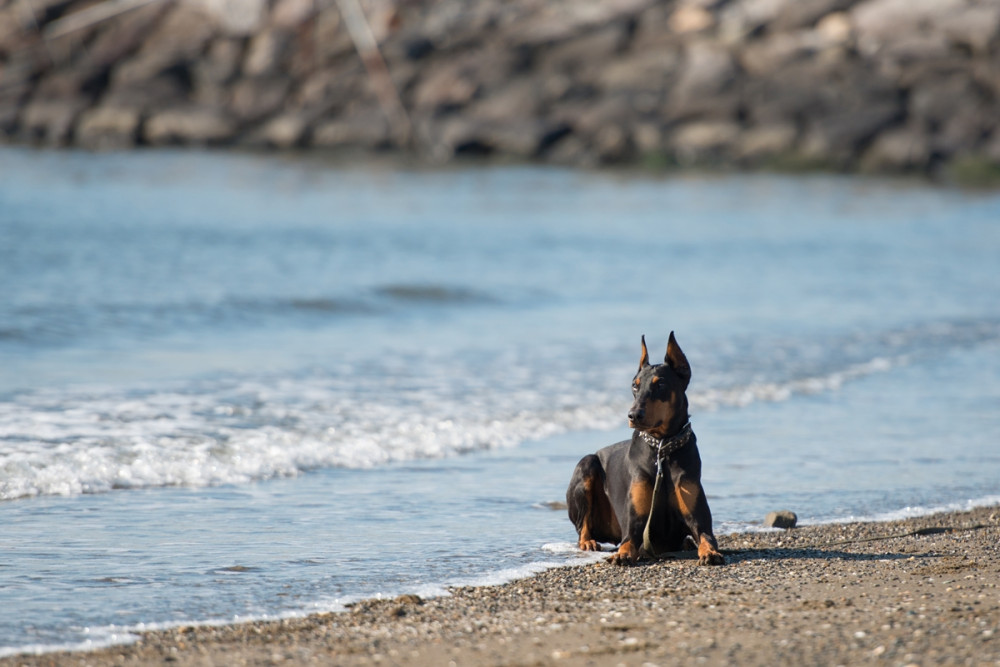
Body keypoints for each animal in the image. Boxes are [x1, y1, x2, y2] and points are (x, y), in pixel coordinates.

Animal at [568, 332, 724, 564]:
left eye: (660, 385)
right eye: (635, 385)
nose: (633, 415)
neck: (661, 450)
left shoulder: (699, 520)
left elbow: (706, 536)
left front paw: (710, 552)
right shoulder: (634, 524)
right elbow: (628, 541)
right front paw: (622, 555)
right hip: (586, 464)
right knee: (582, 527)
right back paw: (588, 542)